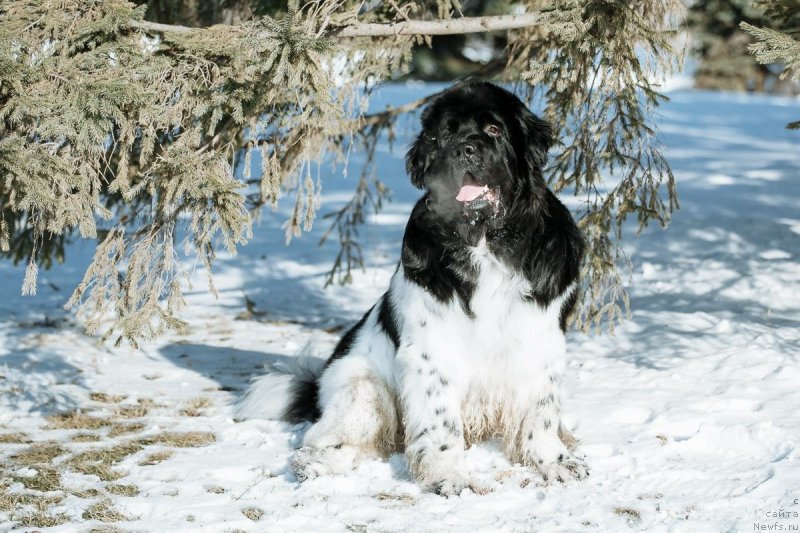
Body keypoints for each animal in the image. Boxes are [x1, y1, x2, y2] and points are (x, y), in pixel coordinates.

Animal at [238, 80, 588, 494]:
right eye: (444, 135)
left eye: (494, 130)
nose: (464, 149)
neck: (486, 242)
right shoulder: (431, 350)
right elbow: (441, 421)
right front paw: (448, 474)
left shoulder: (539, 336)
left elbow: (541, 410)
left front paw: (554, 461)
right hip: (362, 385)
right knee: (334, 436)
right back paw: (316, 465)